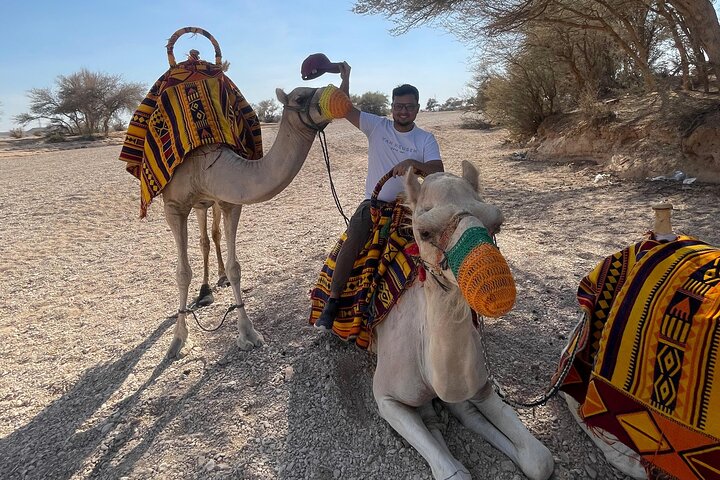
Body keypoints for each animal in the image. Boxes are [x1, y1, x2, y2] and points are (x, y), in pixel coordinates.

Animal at [163, 84, 342, 359]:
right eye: (300, 97)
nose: (336, 94)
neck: (205, 165)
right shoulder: (173, 206)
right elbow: (182, 273)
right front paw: (178, 340)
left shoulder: (230, 201)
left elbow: (235, 267)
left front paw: (248, 333)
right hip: (197, 205)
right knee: (203, 239)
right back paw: (205, 291)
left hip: (211, 202)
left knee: (213, 234)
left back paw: (219, 278)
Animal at [371, 161, 554, 480]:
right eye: (425, 232)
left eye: (497, 224)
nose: (495, 288)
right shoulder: (385, 397)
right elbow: (454, 473)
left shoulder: (480, 386)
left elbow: (541, 460)